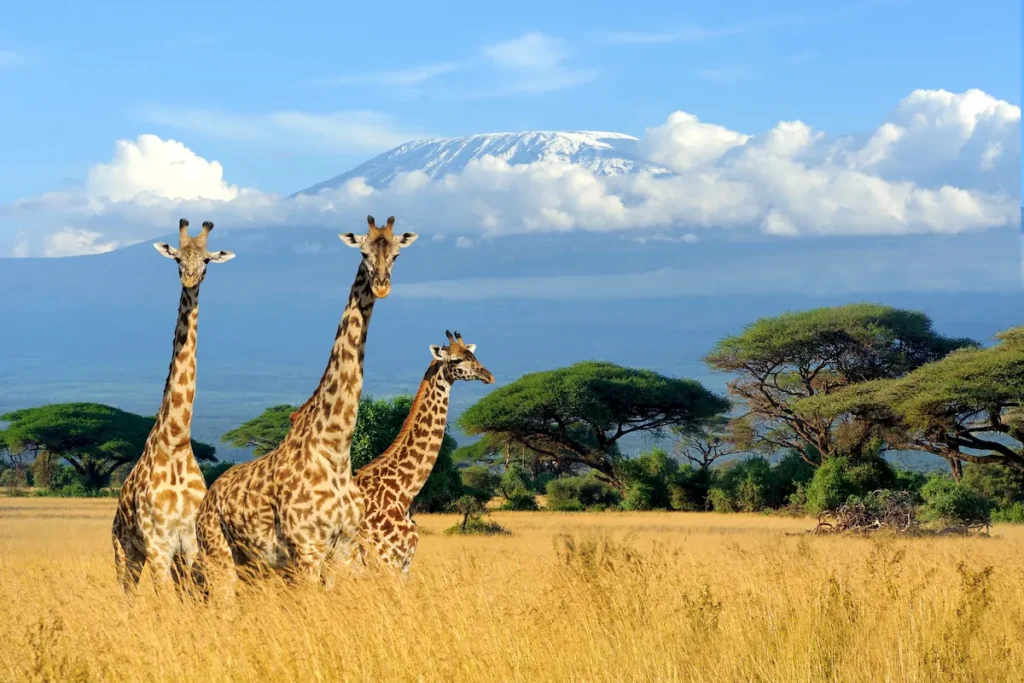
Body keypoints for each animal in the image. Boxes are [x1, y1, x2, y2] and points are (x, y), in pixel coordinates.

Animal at [112, 219, 235, 595]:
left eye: (207, 260)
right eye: (178, 258)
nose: (191, 278)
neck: (177, 441)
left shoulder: (190, 544)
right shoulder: (158, 544)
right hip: (125, 551)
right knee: (125, 595)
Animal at [195, 215, 417, 598]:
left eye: (397, 254)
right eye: (363, 252)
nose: (382, 286)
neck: (335, 449)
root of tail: (207, 500)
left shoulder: (344, 548)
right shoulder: (307, 549)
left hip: (251, 564)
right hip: (218, 553)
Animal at [349, 330, 494, 574]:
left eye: (473, 355)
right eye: (456, 360)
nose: (489, 375)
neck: (403, 492)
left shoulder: (404, 565)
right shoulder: (387, 562)